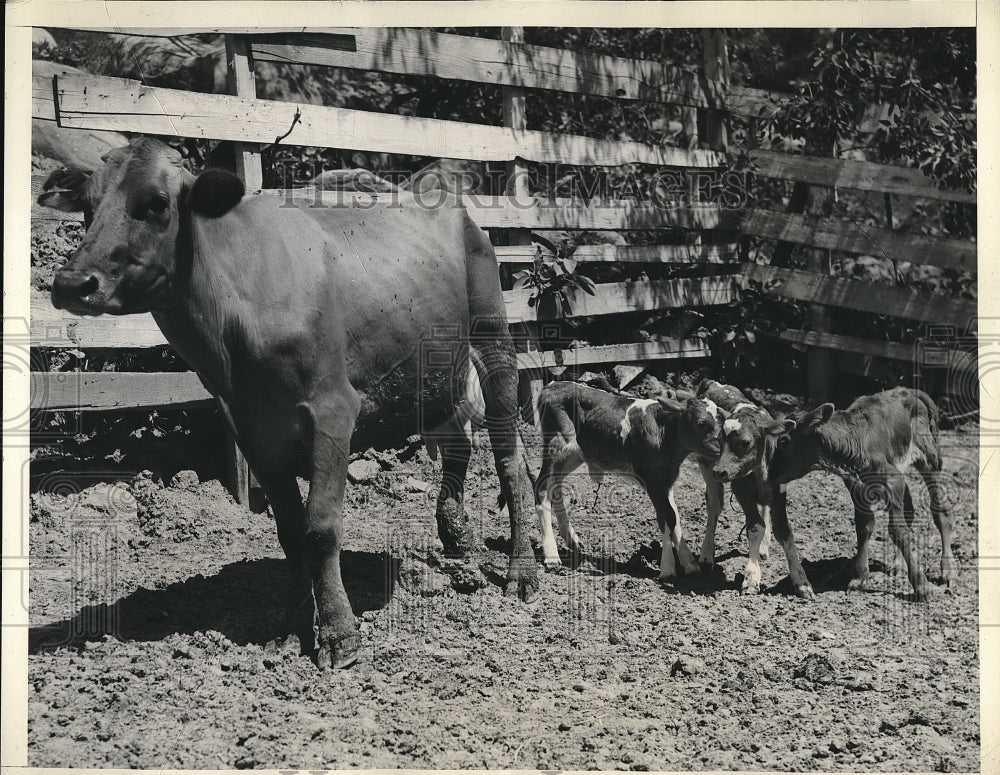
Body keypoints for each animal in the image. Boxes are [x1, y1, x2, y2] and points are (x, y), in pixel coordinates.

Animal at [39, 137, 539, 669]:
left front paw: (339, 634)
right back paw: (456, 536)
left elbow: (320, 529)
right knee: (456, 438)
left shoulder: (333, 410)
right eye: (88, 205)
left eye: (155, 203)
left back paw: (521, 573)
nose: (72, 283)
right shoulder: (249, 426)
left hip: (492, 339)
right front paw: (293, 625)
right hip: (432, 367)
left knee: (509, 459)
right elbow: (289, 532)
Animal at [533, 380, 724, 581]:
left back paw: (571, 539)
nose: (721, 450)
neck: (663, 433)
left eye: (720, 422)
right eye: (701, 423)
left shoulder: (666, 480)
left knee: (555, 486)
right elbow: (666, 517)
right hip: (557, 446)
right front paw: (668, 568)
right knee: (541, 489)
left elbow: (674, 517)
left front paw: (689, 563)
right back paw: (552, 555)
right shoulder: (652, 480)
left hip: (574, 454)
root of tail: (552, 385)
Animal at [763, 387, 953, 601]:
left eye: (784, 441)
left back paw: (947, 570)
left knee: (940, 511)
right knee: (910, 509)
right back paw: (898, 564)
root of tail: (907, 390)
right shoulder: (857, 486)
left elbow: (898, 530)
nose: (769, 475)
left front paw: (921, 586)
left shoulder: (892, 479)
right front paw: (860, 577)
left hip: (929, 458)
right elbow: (864, 526)